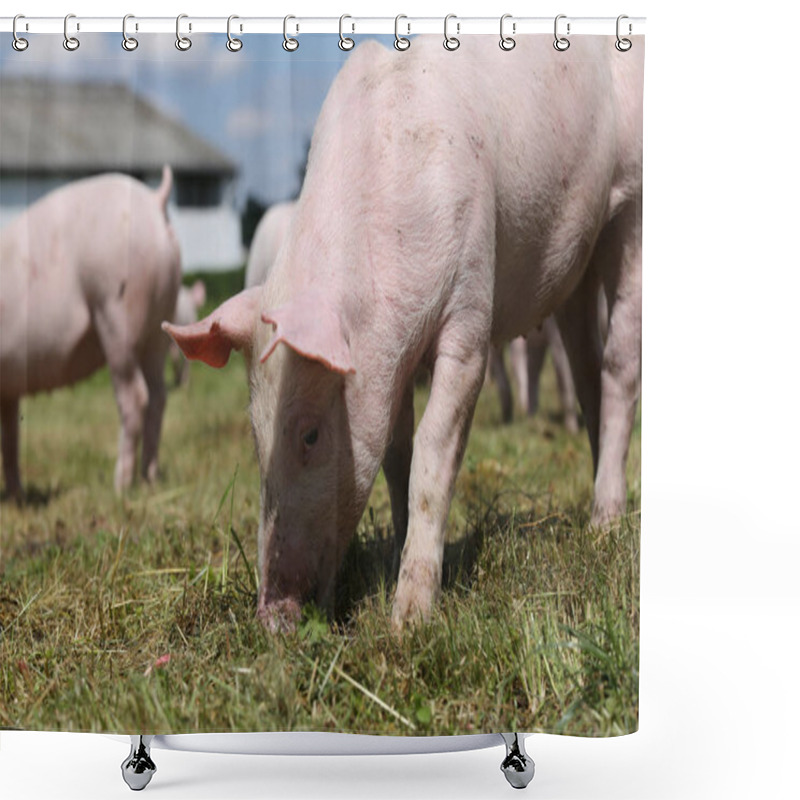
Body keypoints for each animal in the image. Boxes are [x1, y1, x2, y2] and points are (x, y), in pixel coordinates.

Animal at [0, 167, 180, 500]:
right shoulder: (9, 387)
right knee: (159, 395)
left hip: (117, 312)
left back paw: (120, 486)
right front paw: (17, 498)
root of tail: (154, 200)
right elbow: (10, 437)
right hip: (160, 325)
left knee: (135, 395)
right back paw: (150, 479)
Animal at [164, 37, 644, 632]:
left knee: (620, 364)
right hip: (576, 270)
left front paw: (408, 619)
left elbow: (432, 454)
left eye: (310, 435)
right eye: (255, 434)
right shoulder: (387, 366)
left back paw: (604, 524)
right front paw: (391, 562)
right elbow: (395, 455)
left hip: (633, 202)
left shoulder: (470, 306)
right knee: (586, 372)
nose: (273, 615)